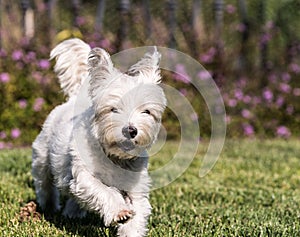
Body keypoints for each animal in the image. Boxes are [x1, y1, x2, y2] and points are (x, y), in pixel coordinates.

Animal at [32, 38, 166, 236]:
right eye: (113, 109)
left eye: (147, 111)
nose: (131, 130)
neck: (116, 157)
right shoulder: (83, 176)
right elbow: (103, 190)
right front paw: (120, 211)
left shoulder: (136, 187)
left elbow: (137, 214)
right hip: (42, 155)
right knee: (45, 182)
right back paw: (49, 207)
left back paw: (72, 213)